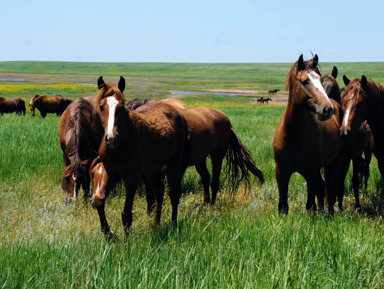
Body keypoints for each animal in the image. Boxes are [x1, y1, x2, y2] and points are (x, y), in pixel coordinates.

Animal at [91, 76, 188, 236]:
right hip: (151, 170)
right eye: (101, 106)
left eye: (121, 107)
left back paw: (173, 224)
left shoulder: (131, 178)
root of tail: (177, 112)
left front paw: (126, 241)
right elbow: (99, 200)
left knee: (173, 194)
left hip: (174, 163)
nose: (111, 139)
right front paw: (108, 233)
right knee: (159, 190)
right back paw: (155, 224)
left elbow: (126, 214)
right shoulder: (112, 173)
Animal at [272, 55, 344, 215]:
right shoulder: (281, 171)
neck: (293, 135)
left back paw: (328, 212)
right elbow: (283, 205)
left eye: (320, 79)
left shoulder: (310, 170)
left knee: (328, 187)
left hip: (333, 163)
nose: (327, 109)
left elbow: (312, 202)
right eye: (304, 81)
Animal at [320, 67, 372, 209]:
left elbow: (340, 181)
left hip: (365, 152)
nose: (325, 110)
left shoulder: (345, 159)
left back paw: (363, 195)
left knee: (363, 171)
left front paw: (341, 206)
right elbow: (327, 182)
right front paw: (329, 203)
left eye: (333, 87)